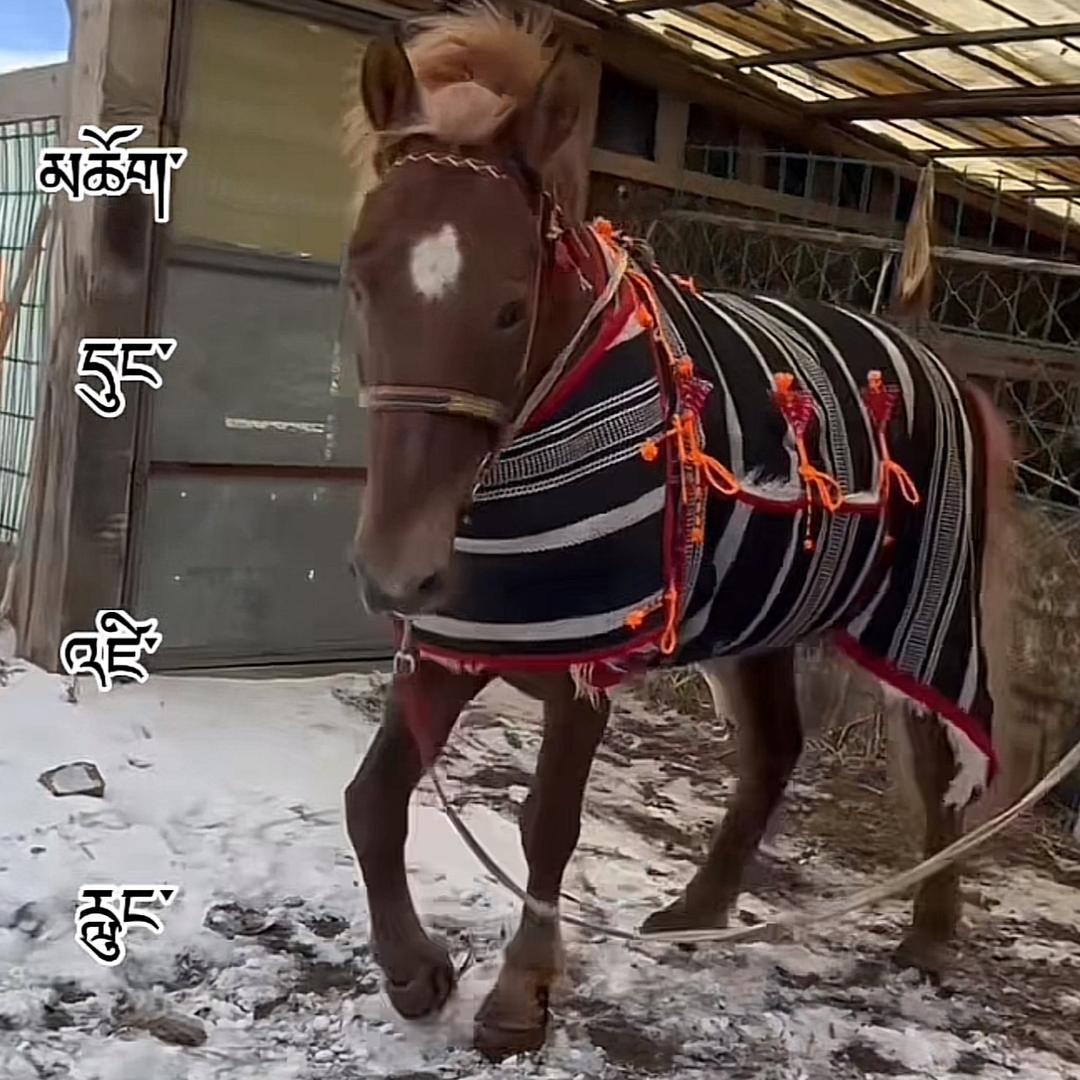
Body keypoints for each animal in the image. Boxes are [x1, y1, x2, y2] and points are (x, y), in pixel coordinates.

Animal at [340, 5, 1023, 1059]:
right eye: (362, 280)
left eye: (509, 306)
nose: (396, 573)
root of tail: (925, 348)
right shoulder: (454, 642)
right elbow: (373, 801)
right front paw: (414, 970)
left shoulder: (583, 657)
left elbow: (549, 823)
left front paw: (521, 993)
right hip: (766, 612)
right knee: (776, 751)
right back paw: (700, 910)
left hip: (922, 616)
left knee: (943, 756)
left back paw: (930, 935)